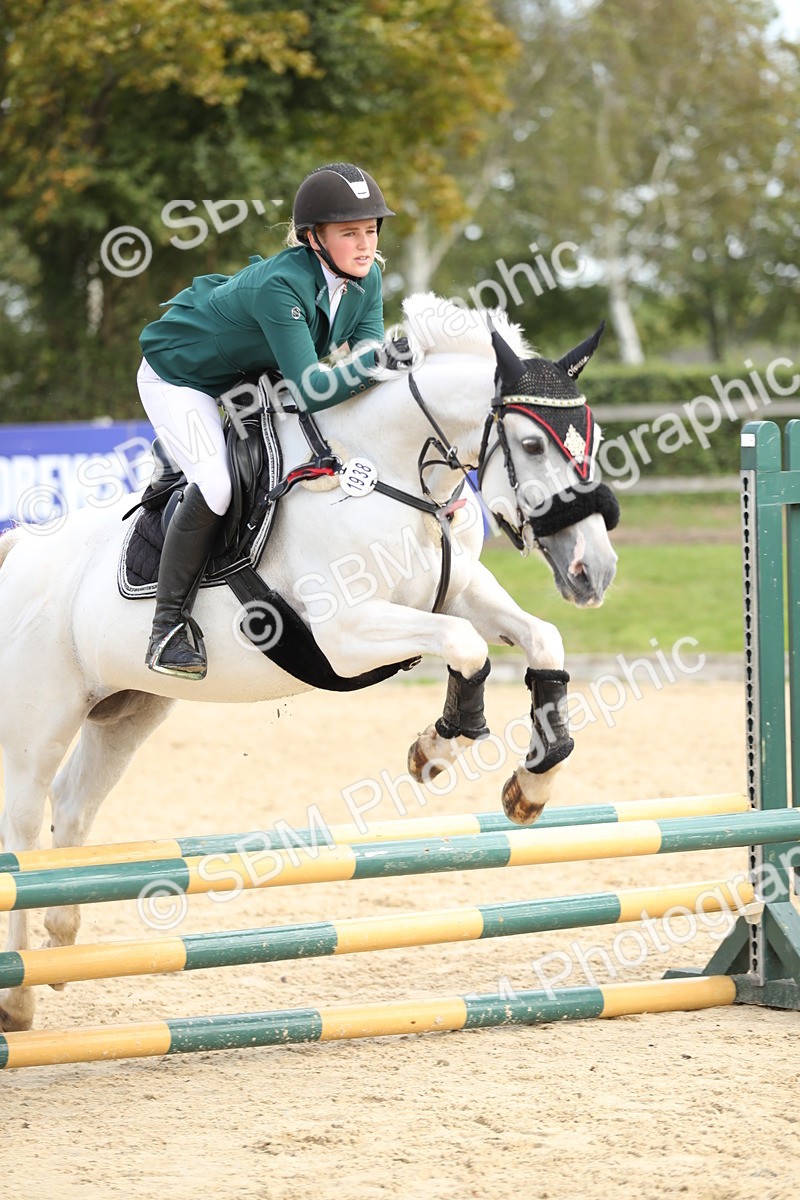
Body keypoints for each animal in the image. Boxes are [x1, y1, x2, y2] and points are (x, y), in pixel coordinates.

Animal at [0, 293, 619, 1030]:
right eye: (530, 445)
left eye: (594, 442)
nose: (594, 571)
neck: (390, 473)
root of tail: (19, 550)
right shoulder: (347, 635)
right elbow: (466, 649)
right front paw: (435, 750)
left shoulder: (461, 590)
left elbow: (542, 641)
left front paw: (531, 785)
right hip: (39, 721)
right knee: (23, 826)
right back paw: (18, 996)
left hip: (127, 709)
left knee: (73, 804)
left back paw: (62, 943)